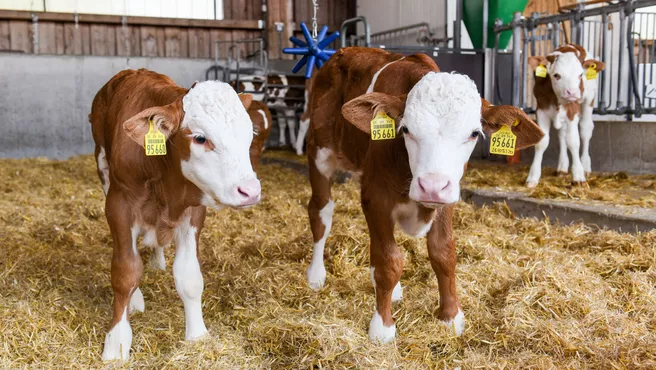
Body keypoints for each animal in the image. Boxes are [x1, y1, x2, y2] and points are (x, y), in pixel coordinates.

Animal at [89, 68, 262, 360]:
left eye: (248, 134)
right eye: (200, 138)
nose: (250, 191)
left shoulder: (194, 211)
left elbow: (189, 276)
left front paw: (197, 335)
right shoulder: (119, 205)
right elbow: (126, 272)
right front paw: (116, 342)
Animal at [304, 47, 540, 344]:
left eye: (475, 133)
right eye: (405, 129)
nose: (431, 185)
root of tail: (344, 51)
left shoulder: (446, 199)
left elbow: (443, 253)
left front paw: (450, 316)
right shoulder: (376, 197)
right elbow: (389, 261)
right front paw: (382, 327)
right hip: (319, 151)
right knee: (321, 211)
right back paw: (315, 274)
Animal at [524, 44, 608, 188]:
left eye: (580, 75)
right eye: (557, 75)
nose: (572, 92)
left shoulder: (573, 110)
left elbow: (573, 142)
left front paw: (578, 176)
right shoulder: (541, 109)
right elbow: (542, 142)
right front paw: (533, 177)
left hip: (589, 100)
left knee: (585, 130)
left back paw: (585, 166)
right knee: (562, 134)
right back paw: (562, 167)